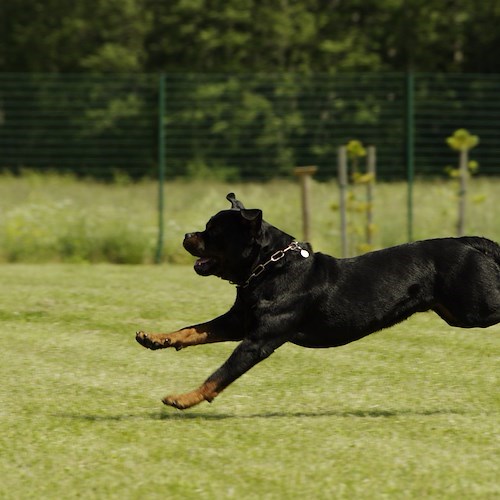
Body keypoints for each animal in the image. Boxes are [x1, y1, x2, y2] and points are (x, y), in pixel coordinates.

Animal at [136, 193, 500, 408]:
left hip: (476, 308)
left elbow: (219, 374)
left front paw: (184, 398)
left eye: (213, 231)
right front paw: (155, 338)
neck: (269, 268)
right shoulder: (238, 322)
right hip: (457, 312)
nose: (187, 235)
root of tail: (466, 242)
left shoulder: (257, 341)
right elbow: (192, 330)